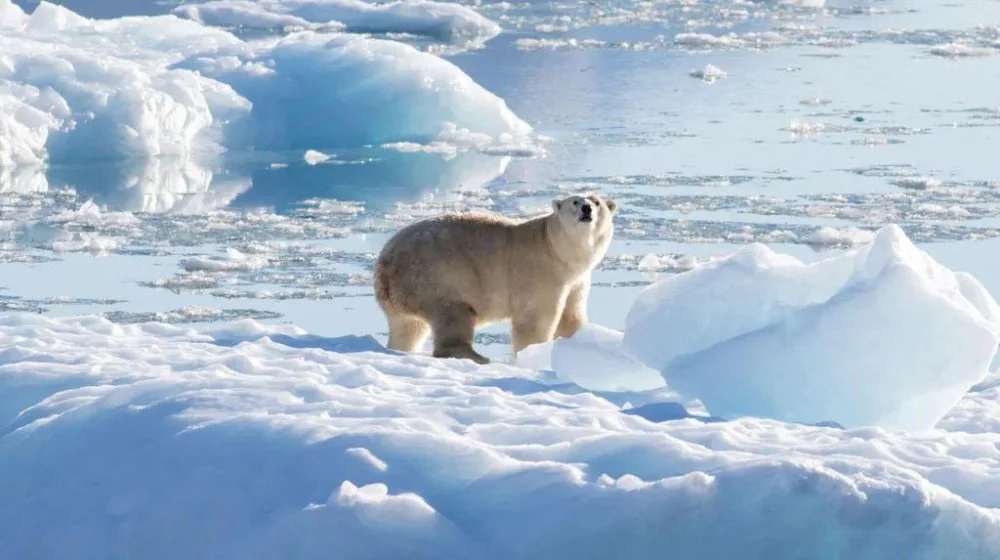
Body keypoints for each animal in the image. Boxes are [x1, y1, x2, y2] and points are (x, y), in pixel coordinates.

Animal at [372, 195, 612, 366]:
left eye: (597, 201)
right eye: (575, 201)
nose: (587, 209)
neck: (557, 249)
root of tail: (385, 263)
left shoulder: (577, 280)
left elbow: (571, 315)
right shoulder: (540, 271)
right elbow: (536, 318)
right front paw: (533, 355)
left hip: (406, 292)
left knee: (408, 327)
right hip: (437, 275)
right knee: (453, 315)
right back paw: (477, 357)